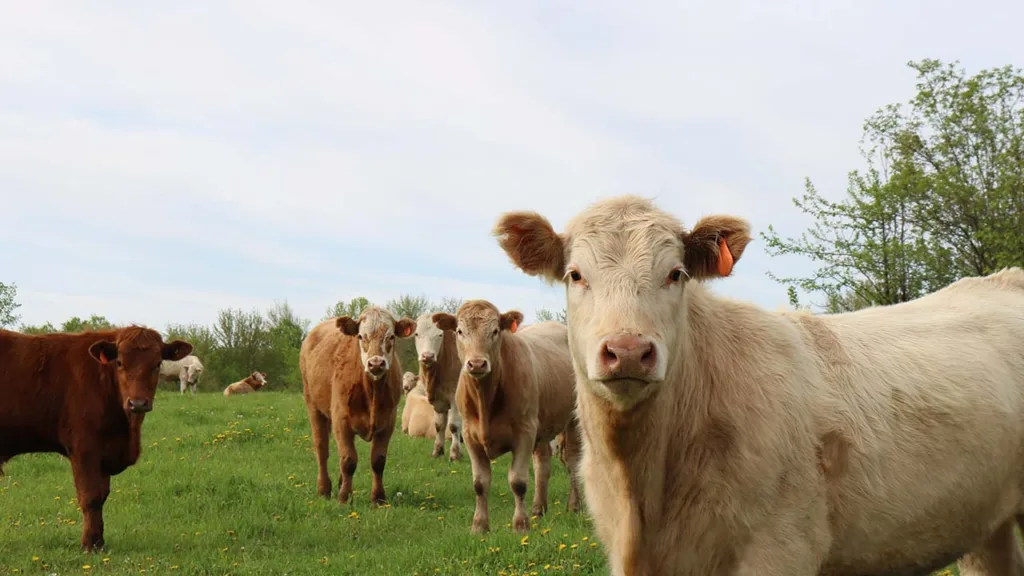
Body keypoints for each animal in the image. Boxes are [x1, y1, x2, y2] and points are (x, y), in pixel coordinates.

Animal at [0, 325, 191, 549]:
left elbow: (101, 496)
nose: (137, 403)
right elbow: (90, 497)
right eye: (119, 362)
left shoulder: (104, 453)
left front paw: (99, 541)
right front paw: (89, 544)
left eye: (158, 363)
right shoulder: (84, 448)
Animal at [299, 305, 415, 502]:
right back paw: (324, 489)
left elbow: (378, 460)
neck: (372, 392)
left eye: (391, 336)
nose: (376, 363)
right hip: (313, 405)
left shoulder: (388, 422)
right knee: (322, 448)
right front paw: (344, 498)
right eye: (361, 336)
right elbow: (348, 460)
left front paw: (378, 498)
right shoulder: (341, 420)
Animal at [413, 311, 466, 459]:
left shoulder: (454, 398)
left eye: (440, 335)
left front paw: (455, 454)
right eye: (416, 334)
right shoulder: (438, 401)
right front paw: (438, 450)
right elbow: (439, 425)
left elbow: (453, 425)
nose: (427, 356)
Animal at [430, 301, 581, 532]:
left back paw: (573, 505)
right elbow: (480, 483)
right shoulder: (470, 435)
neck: (486, 398)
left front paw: (520, 524)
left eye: (495, 331)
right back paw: (538, 509)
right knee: (543, 465)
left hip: (572, 420)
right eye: (460, 331)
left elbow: (518, 481)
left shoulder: (524, 432)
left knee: (572, 461)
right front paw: (479, 526)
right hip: (541, 427)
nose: (477, 364)